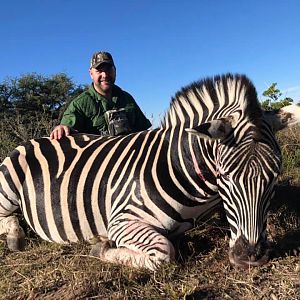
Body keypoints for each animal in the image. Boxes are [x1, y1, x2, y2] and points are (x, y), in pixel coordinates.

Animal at [0, 73, 300, 270]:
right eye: (224, 175)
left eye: (274, 177)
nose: (249, 256)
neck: (178, 166)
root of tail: (33, 139)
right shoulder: (122, 221)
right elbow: (163, 253)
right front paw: (101, 247)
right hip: (7, 185)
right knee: (6, 216)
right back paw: (15, 237)